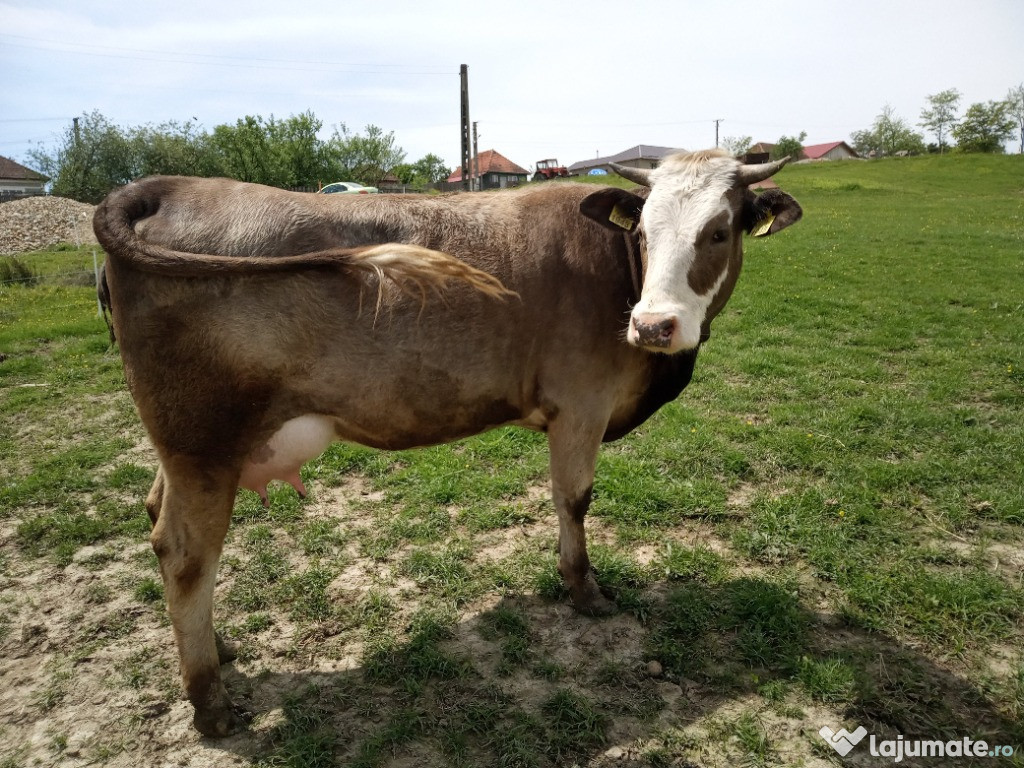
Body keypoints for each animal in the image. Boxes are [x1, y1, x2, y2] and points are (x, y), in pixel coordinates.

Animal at [94, 147, 798, 737]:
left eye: (719, 231)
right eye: (645, 232)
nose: (653, 325)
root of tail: (164, 185)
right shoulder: (582, 406)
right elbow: (574, 499)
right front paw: (585, 591)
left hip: (189, 447)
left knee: (156, 513)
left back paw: (218, 649)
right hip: (202, 442)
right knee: (185, 553)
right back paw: (211, 703)